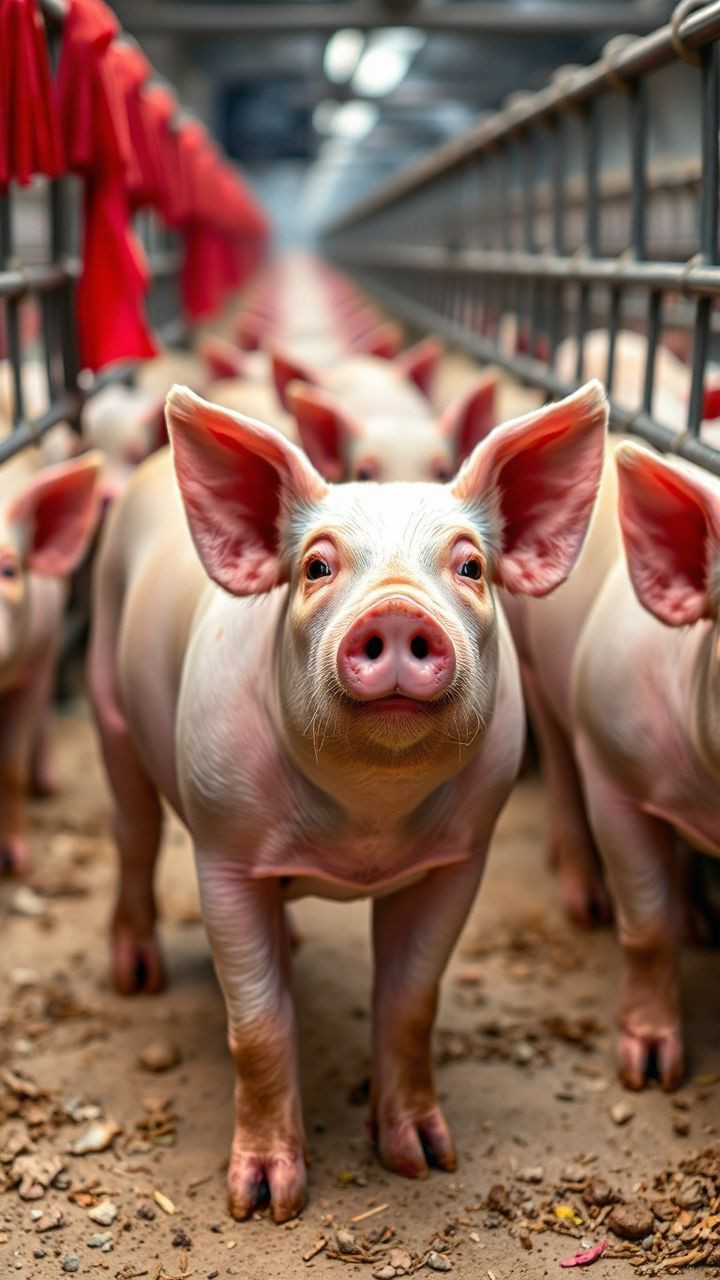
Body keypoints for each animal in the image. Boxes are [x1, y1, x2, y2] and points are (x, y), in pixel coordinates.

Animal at [89, 379, 607, 1220]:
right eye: (316, 565)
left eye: (470, 564)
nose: (395, 611)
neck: (365, 830)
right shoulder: (222, 852)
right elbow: (258, 1023)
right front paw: (265, 1202)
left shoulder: (461, 857)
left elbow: (410, 1002)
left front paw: (424, 1161)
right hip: (110, 706)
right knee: (132, 836)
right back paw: (135, 978)